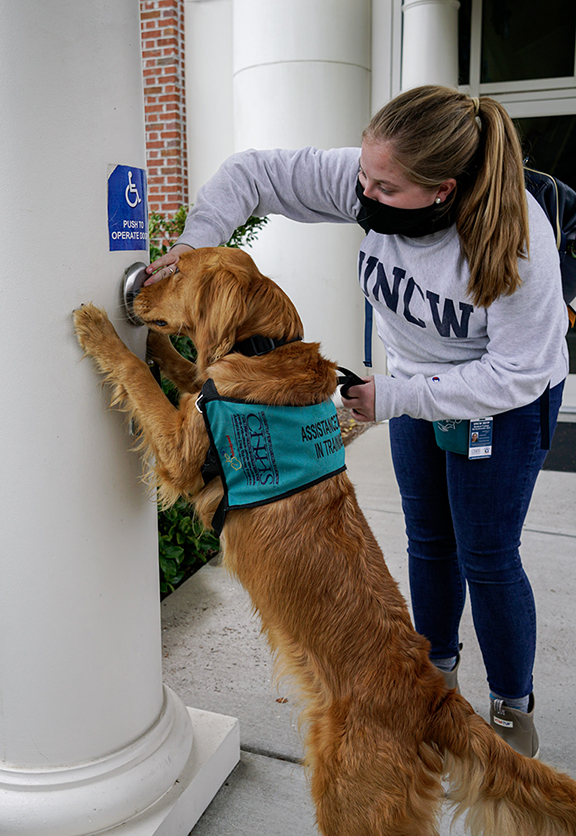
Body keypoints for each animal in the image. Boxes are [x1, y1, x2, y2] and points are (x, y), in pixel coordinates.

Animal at [74, 248, 576, 836]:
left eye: (179, 269)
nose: (136, 287)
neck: (263, 346)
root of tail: (432, 697)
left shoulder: (180, 452)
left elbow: (140, 379)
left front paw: (101, 329)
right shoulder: (198, 396)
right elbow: (182, 371)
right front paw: (155, 343)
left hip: (348, 799)